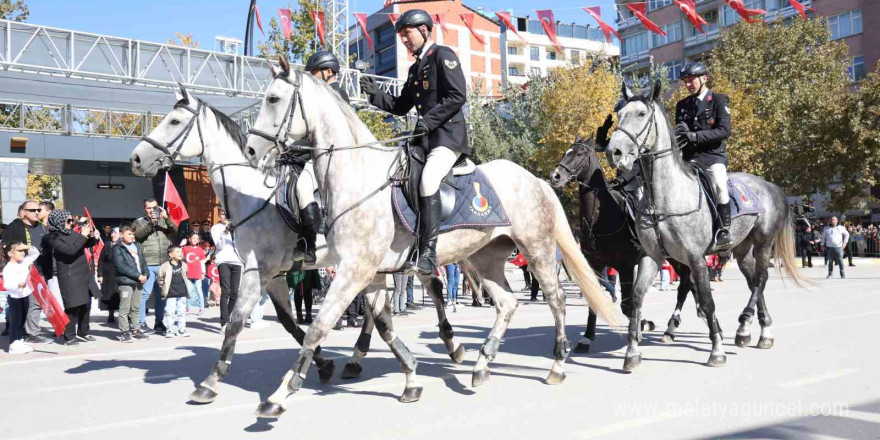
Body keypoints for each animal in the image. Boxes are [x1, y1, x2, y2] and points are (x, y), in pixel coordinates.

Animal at [237, 58, 616, 420]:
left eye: (273, 99)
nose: (251, 152)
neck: (357, 175)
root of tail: (535, 179)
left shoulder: (354, 271)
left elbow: (318, 327)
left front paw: (278, 397)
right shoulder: (364, 272)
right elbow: (376, 323)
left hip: (536, 249)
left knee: (556, 300)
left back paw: (556, 365)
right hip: (485, 257)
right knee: (507, 303)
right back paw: (482, 363)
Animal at [552, 138, 700, 360]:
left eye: (579, 154)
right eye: (565, 152)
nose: (556, 176)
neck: (601, 216)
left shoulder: (625, 266)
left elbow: (627, 305)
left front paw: (641, 326)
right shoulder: (595, 265)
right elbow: (596, 299)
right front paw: (586, 339)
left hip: (677, 256)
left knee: (684, 285)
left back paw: (671, 328)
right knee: (688, 283)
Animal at [604, 81, 812, 370]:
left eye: (641, 114)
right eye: (620, 114)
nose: (614, 152)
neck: (663, 199)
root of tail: (770, 186)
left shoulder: (695, 258)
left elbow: (706, 300)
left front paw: (717, 350)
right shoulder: (652, 256)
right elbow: (636, 298)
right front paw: (632, 353)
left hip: (764, 243)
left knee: (760, 279)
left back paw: (746, 325)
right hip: (742, 250)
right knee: (754, 281)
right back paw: (760, 331)